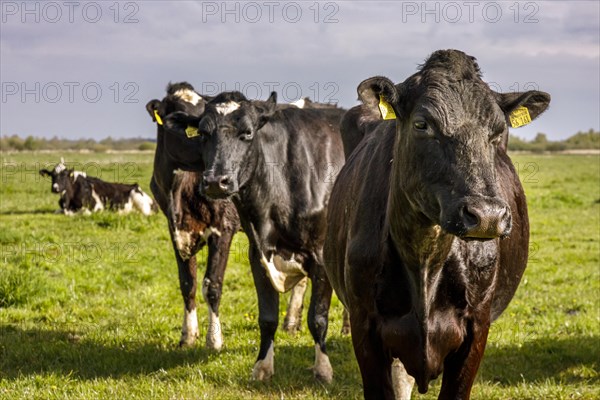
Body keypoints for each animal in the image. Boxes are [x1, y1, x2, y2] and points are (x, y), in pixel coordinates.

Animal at [145, 82, 241, 350]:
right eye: (193, 127)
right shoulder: (175, 229)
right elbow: (188, 282)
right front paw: (188, 335)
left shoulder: (223, 227)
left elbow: (212, 285)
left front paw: (214, 340)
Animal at [166, 90, 346, 382]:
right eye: (203, 133)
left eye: (247, 132)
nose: (216, 182)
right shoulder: (258, 254)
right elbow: (268, 317)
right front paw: (263, 366)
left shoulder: (321, 255)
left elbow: (318, 317)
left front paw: (323, 369)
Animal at [326, 50, 552, 400]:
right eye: (422, 124)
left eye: (497, 132)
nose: (486, 215)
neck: (424, 258)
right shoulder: (364, 325)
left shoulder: (476, 326)